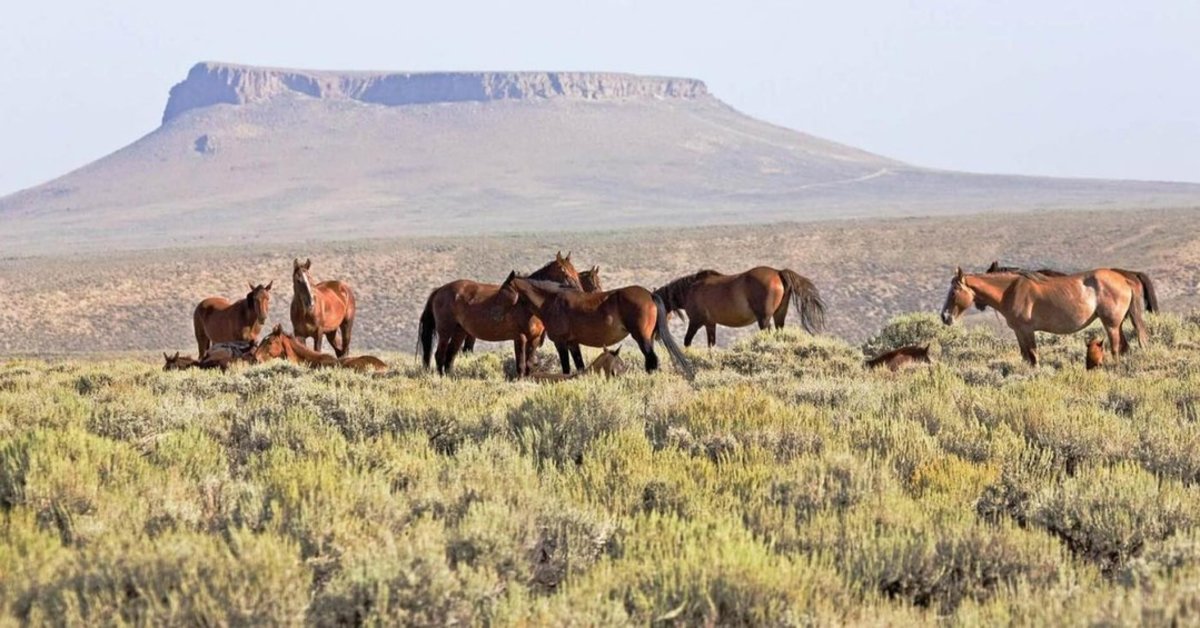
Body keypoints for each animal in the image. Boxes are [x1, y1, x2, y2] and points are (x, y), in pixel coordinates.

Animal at [418, 252, 582, 377]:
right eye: (564, 272)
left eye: (576, 272)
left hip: (460, 331)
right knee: (440, 355)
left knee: (450, 356)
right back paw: (441, 378)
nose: (579, 292)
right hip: (445, 331)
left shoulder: (534, 339)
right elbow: (521, 363)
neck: (526, 305)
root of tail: (439, 290)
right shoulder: (520, 337)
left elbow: (529, 363)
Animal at [503, 274, 693, 378]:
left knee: (652, 360)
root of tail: (649, 294)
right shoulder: (573, 343)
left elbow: (566, 368)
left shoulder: (561, 343)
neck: (552, 301)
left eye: (504, 289)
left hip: (642, 338)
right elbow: (579, 366)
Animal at [653, 266, 826, 348]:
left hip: (764, 319)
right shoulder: (710, 324)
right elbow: (711, 344)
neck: (691, 289)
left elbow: (687, 341)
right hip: (779, 315)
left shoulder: (696, 322)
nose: (656, 336)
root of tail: (778, 273)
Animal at [940, 266, 1147, 366]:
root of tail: (1125, 278)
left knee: (1115, 348)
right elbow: (1025, 356)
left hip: (1111, 324)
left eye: (954, 291)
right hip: (1118, 324)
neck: (1010, 291)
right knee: (1124, 347)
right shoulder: (1019, 332)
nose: (945, 317)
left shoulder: (1027, 330)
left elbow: (1033, 355)